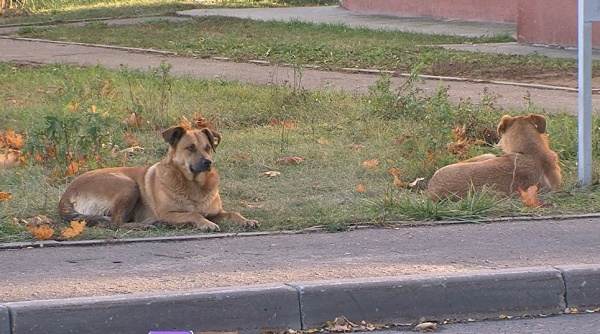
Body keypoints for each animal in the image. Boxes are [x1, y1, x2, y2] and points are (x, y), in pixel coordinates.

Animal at [57, 125, 258, 232]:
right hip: (127, 185)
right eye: (190, 148)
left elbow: (232, 213)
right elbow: (193, 213)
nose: (208, 162)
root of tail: (66, 194)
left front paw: (245, 220)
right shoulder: (168, 213)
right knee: (116, 222)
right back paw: (147, 225)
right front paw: (205, 223)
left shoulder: (215, 212)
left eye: (208, 147)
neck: (193, 185)